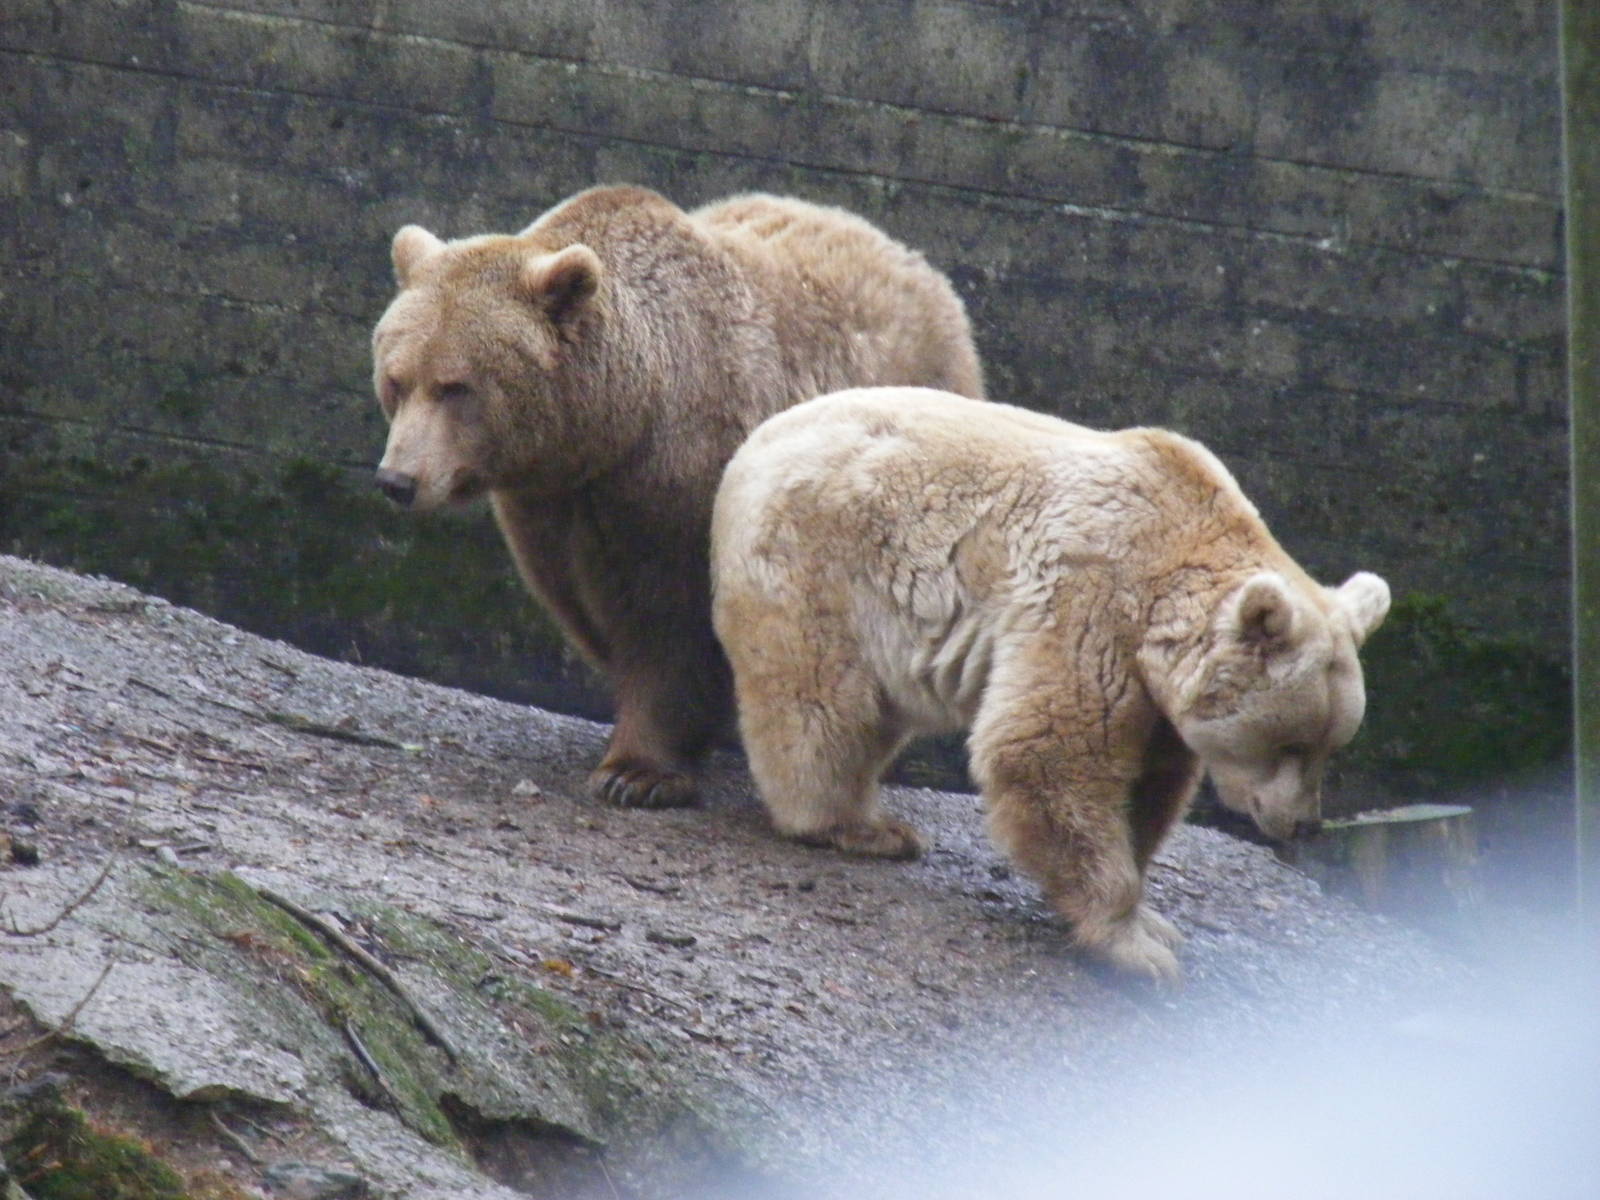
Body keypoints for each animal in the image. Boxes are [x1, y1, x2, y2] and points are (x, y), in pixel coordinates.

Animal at [371, 187, 984, 809]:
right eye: (396, 380)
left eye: (455, 387)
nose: (398, 480)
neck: (616, 423)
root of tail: (920, 265)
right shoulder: (551, 509)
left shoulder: (681, 482)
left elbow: (671, 623)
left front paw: (637, 772)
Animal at [710, 386, 1390, 983]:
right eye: (1291, 743)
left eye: (1332, 745)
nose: (1305, 826)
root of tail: (755, 442)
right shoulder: (1093, 601)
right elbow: (1051, 751)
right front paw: (1136, 948)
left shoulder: (1154, 690)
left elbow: (1148, 783)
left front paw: (1151, 918)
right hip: (819, 562)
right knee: (822, 699)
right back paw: (854, 825)